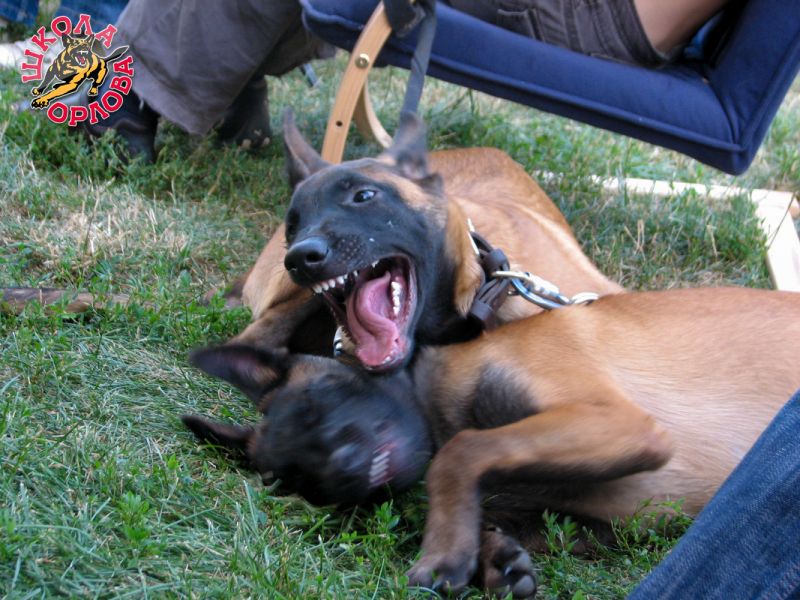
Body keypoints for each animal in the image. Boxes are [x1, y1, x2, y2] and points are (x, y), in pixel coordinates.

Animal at [184, 286, 800, 598]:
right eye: (292, 480)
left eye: (318, 402)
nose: (346, 473)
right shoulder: (588, 521)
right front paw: (492, 557)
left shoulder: (619, 422)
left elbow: (463, 453)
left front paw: (445, 551)